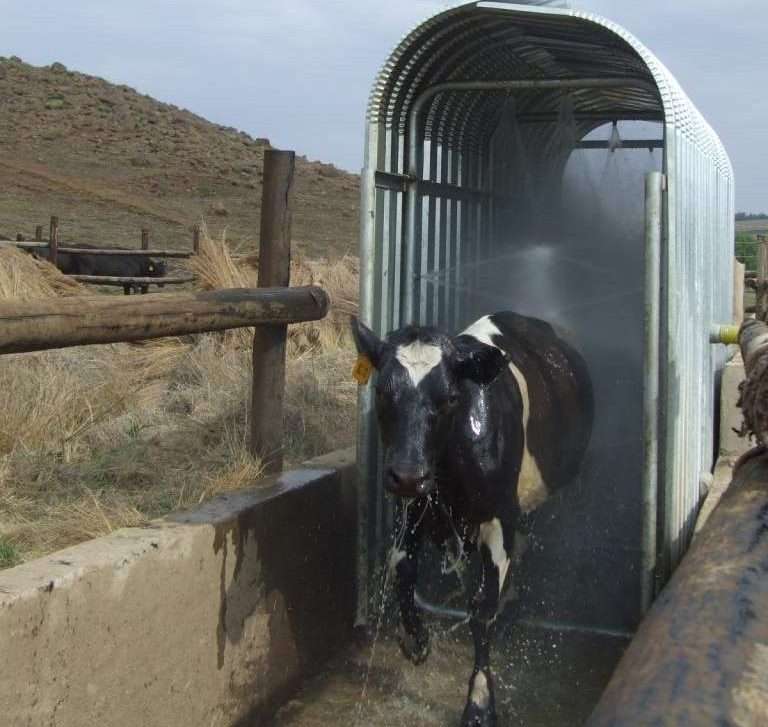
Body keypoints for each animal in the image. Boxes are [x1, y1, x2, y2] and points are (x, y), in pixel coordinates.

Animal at [351, 311, 593, 727]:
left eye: (449, 397)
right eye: (382, 391)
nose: (408, 475)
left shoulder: (500, 517)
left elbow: (482, 609)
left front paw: (480, 702)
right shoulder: (414, 508)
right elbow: (401, 567)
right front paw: (416, 639)